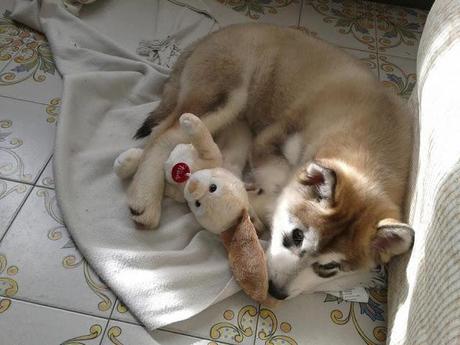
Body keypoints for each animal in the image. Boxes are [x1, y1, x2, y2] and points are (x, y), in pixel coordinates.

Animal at [128, 23, 414, 298]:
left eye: (329, 267)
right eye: (296, 236)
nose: (276, 291)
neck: (370, 145)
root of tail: (212, 36)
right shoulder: (271, 138)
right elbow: (279, 183)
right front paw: (256, 203)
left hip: (239, 125)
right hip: (226, 96)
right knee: (163, 134)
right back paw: (145, 199)